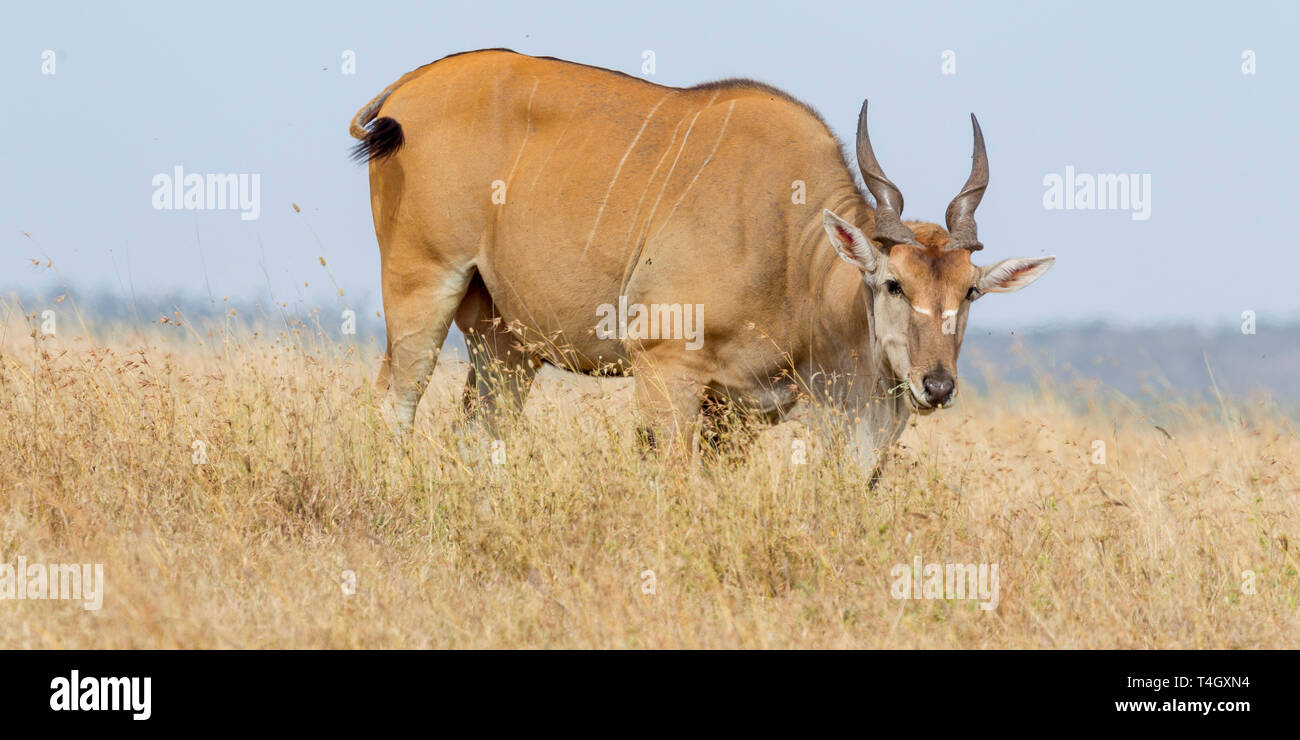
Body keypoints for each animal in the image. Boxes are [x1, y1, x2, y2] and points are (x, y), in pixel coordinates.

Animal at [351, 47, 1050, 473]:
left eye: (970, 292)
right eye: (892, 284)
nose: (937, 385)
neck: (792, 249)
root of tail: (405, 88)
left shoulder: (741, 410)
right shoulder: (666, 369)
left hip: (506, 344)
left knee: (478, 432)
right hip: (421, 287)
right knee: (393, 403)